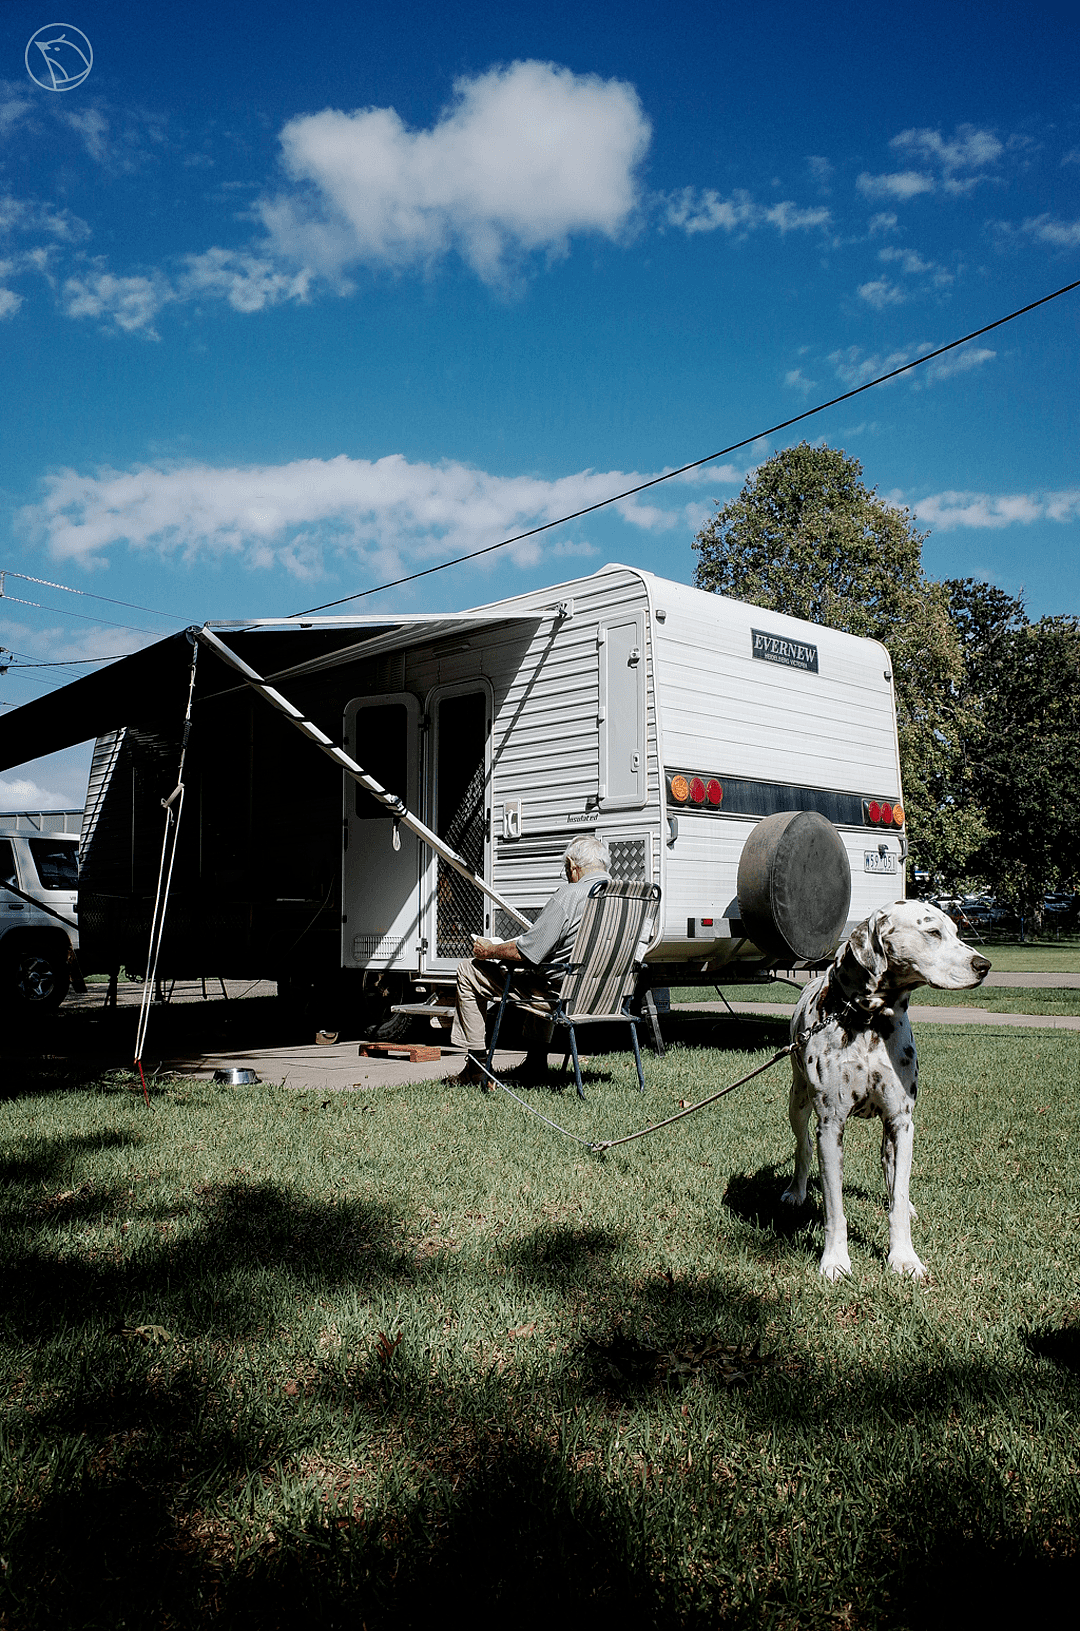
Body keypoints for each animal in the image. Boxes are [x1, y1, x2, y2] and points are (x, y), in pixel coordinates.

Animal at [783, 900, 991, 1278]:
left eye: (956, 930)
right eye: (932, 932)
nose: (984, 966)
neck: (869, 1021)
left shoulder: (900, 1121)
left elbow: (897, 1196)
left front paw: (904, 1258)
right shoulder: (830, 1126)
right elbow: (834, 1208)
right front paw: (835, 1260)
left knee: (890, 1171)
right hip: (798, 1101)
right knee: (802, 1146)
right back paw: (796, 1190)